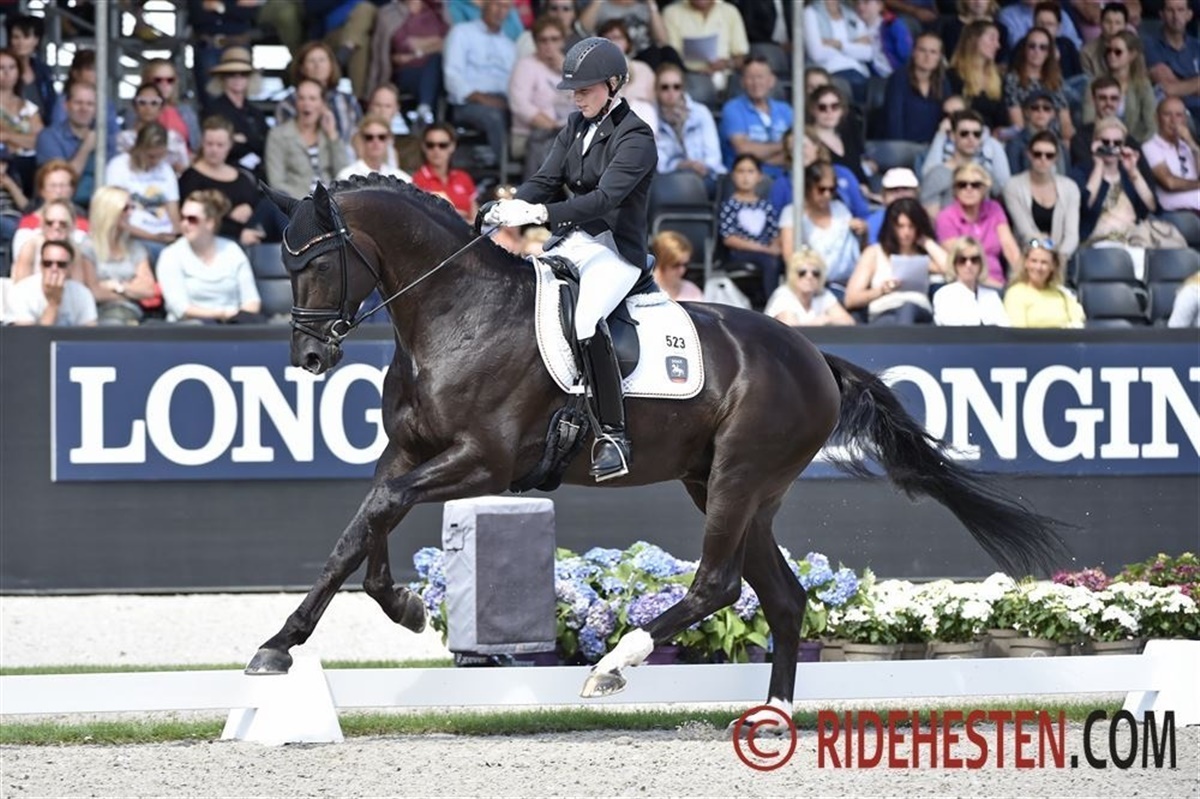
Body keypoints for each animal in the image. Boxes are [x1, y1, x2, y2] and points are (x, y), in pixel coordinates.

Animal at [249, 175, 1066, 715]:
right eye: (284, 266)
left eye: (316, 262)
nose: (309, 358)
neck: (457, 313)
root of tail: (812, 356)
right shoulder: (409, 452)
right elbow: (363, 527)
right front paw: (328, 629)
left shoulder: (486, 460)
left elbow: (382, 509)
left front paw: (367, 617)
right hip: (728, 486)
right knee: (782, 596)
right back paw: (772, 717)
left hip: (738, 477)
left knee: (719, 585)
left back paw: (615, 664)